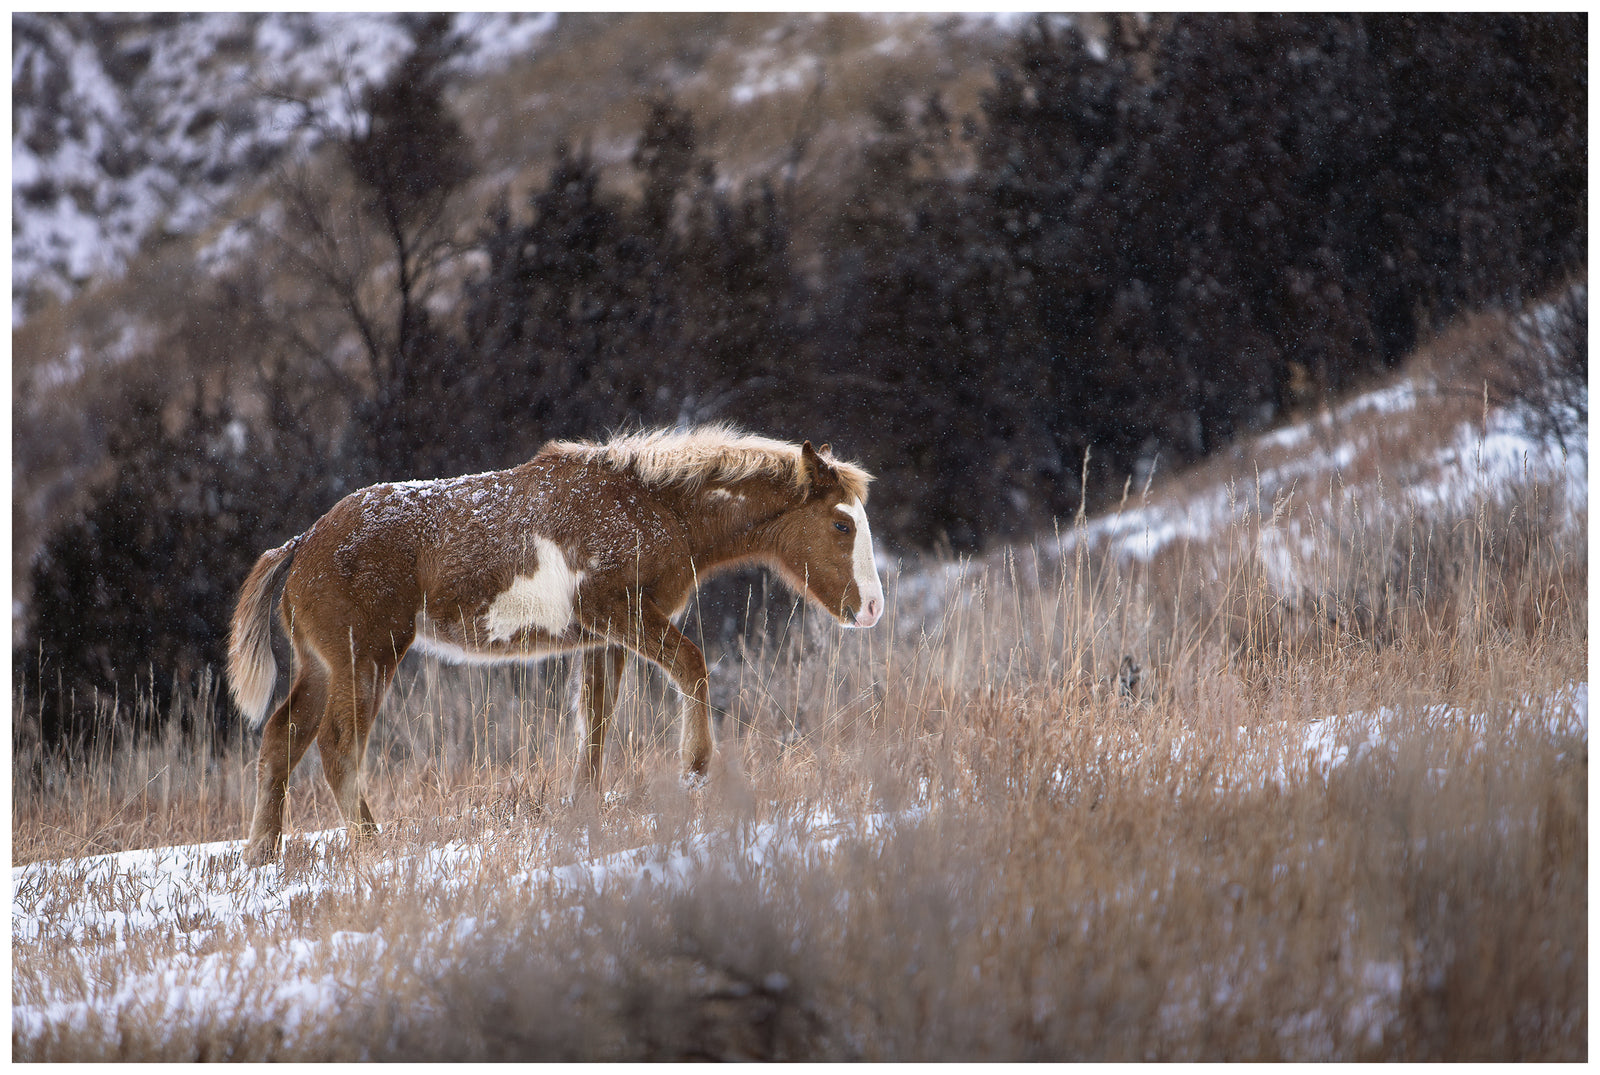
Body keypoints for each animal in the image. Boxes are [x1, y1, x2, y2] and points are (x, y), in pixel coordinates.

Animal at [227, 424, 884, 864]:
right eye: (840, 523)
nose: (873, 608)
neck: (655, 506)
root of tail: (301, 544)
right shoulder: (621, 613)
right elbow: (691, 664)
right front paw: (695, 766)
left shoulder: (601, 640)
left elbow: (594, 722)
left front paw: (583, 807)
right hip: (364, 657)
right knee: (338, 745)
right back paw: (370, 843)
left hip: (321, 666)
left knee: (282, 738)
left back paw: (263, 854)